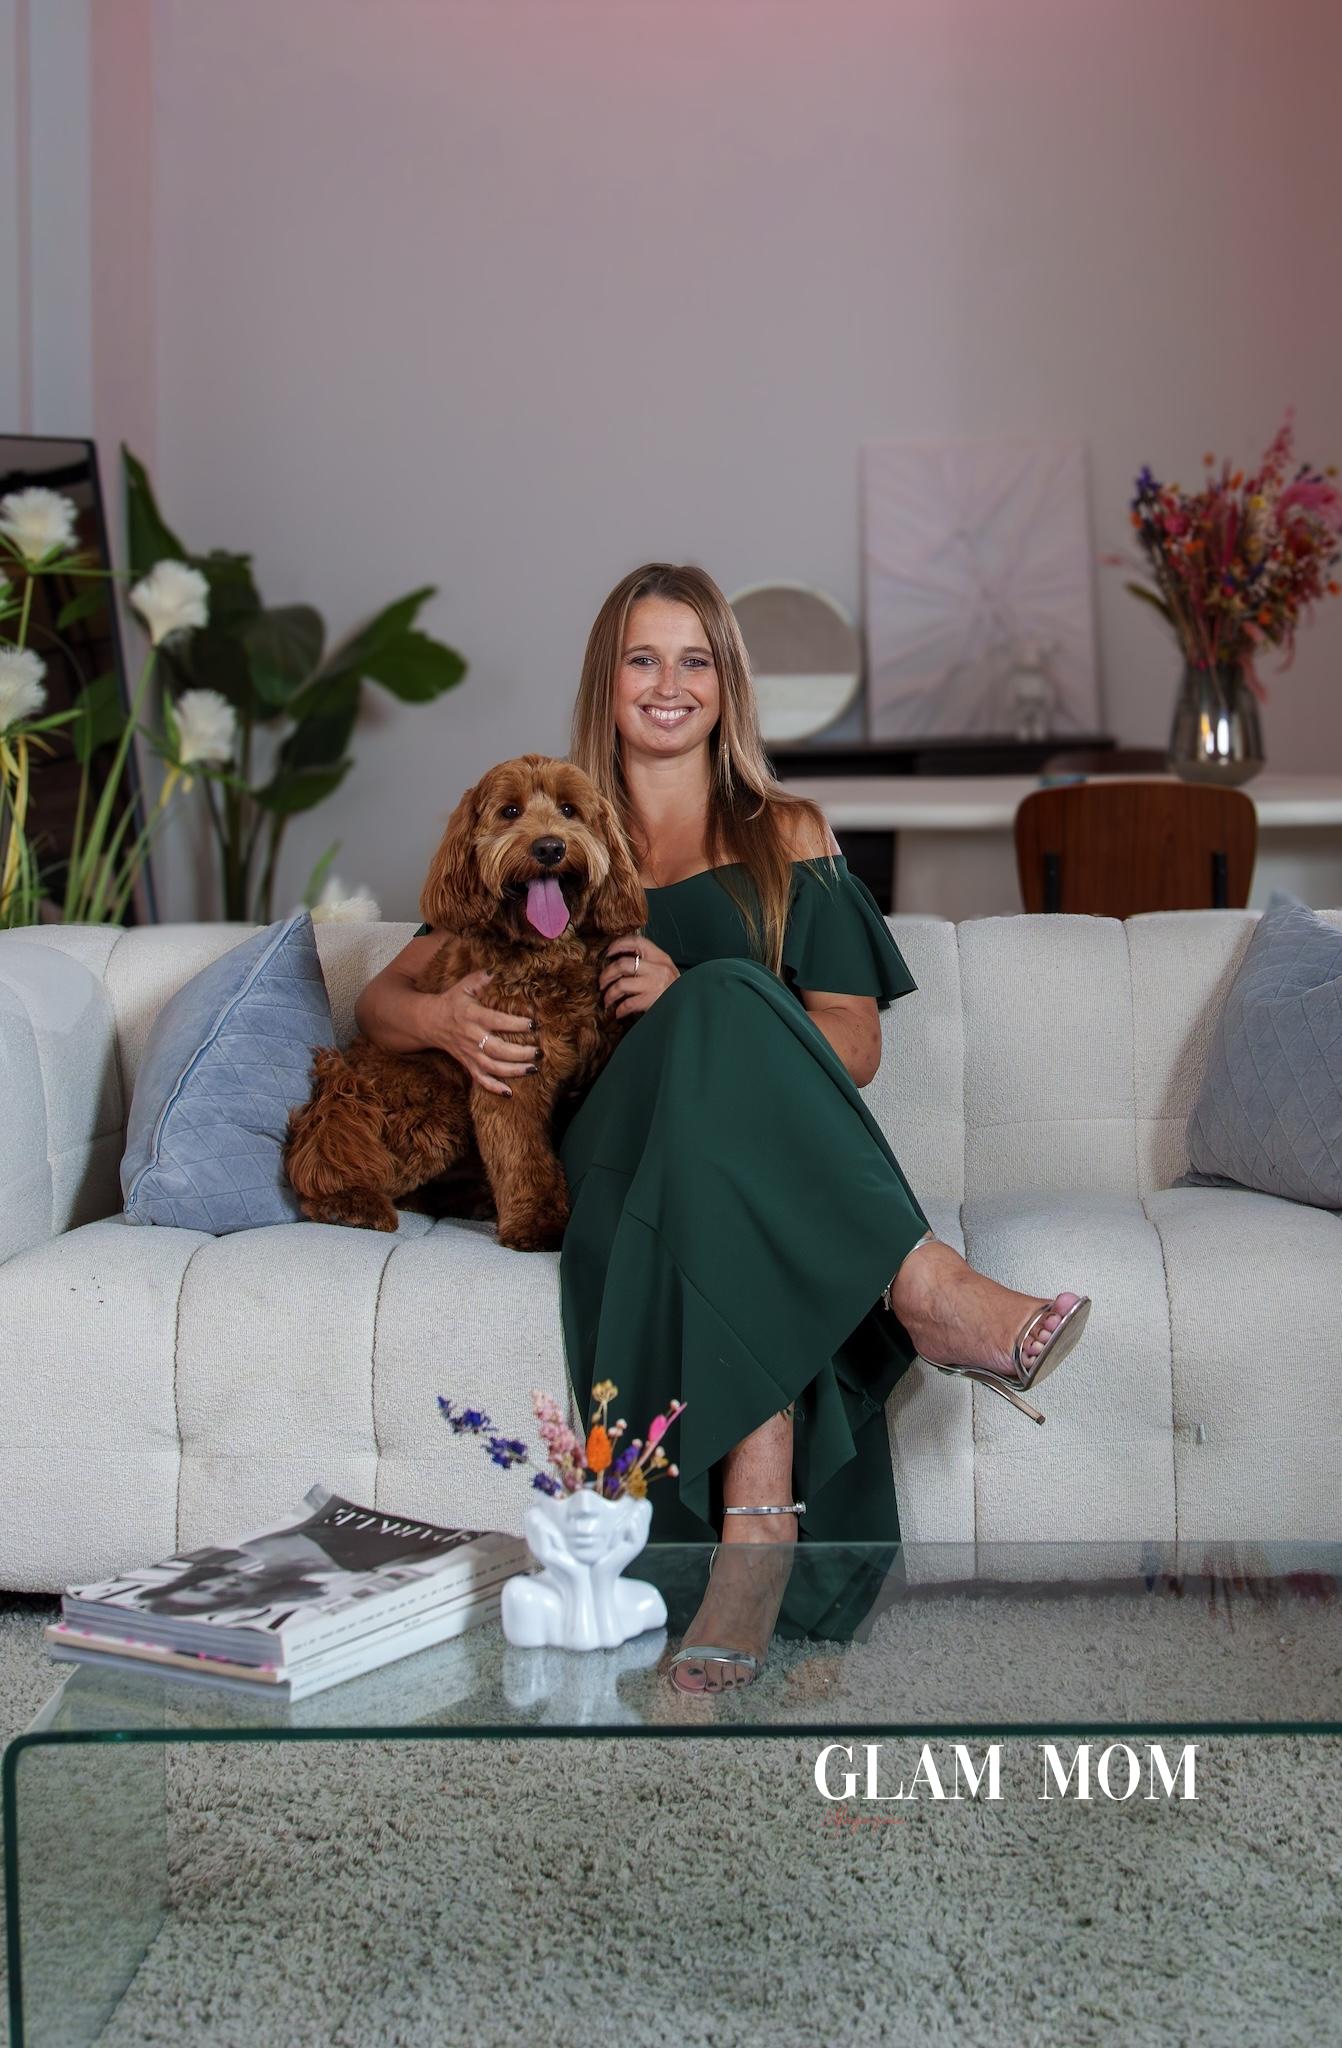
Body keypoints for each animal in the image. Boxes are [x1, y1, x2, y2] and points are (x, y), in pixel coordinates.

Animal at [284, 754, 647, 1249]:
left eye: (569, 810)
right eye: (510, 811)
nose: (550, 848)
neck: (550, 957)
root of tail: (345, 1079)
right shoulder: (509, 1076)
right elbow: (521, 1154)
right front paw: (536, 1224)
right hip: (437, 1109)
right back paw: (350, 1202)